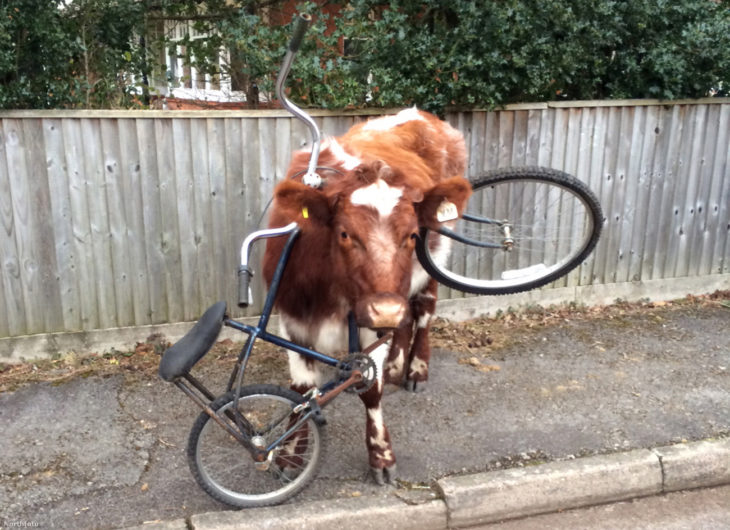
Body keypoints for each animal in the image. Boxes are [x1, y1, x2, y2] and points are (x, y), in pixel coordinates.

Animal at [264, 107, 470, 482]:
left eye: (412, 235)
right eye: (345, 233)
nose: (384, 309)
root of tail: (419, 113)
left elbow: (372, 391)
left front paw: (381, 455)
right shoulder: (292, 317)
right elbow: (302, 389)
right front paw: (289, 454)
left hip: (433, 261)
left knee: (423, 310)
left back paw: (415, 369)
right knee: (405, 320)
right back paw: (395, 364)